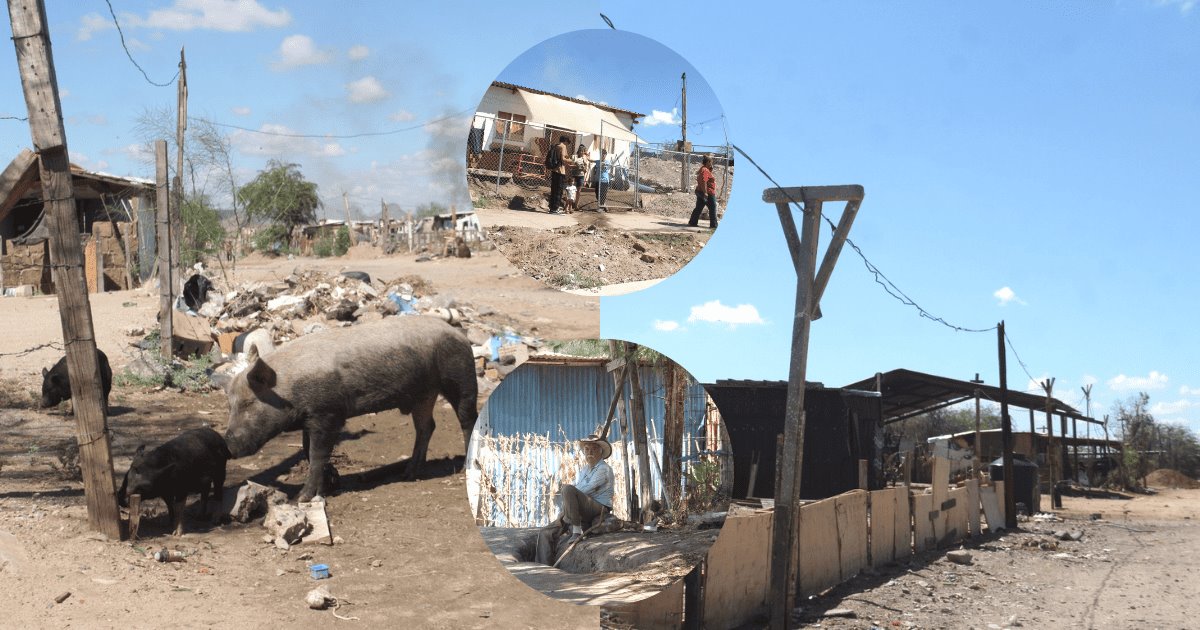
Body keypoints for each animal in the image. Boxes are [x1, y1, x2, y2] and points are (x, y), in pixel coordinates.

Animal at [223, 314, 475, 501]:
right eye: (231, 404)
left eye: (248, 403)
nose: (228, 446)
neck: (288, 388)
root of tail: (459, 334)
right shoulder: (310, 418)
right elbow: (306, 449)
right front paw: (328, 486)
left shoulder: (329, 413)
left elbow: (316, 453)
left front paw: (302, 498)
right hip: (423, 395)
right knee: (426, 427)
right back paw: (409, 473)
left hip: (460, 378)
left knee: (467, 421)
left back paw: (464, 468)